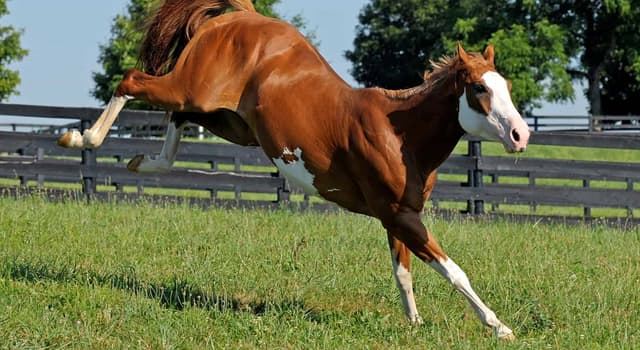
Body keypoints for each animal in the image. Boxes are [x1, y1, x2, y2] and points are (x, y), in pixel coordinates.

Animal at [58, 0, 528, 340]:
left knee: (177, 119)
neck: (400, 134)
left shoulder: (398, 216)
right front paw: (499, 326)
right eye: (480, 88)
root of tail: (240, 15)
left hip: (228, 119)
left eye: (505, 84)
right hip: (190, 89)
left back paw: (142, 162)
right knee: (132, 81)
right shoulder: (401, 217)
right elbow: (453, 270)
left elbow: (403, 272)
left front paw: (415, 324)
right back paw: (80, 139)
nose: (521, 135)